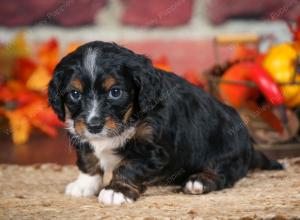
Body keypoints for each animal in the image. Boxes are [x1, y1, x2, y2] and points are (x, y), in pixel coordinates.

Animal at [48, 40, 282, 205]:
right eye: (75, 94)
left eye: (115, 92)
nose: (94, 126)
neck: (129, 118)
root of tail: (250, 148)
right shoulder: (79, 132)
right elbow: (88, 158)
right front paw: (84, 184)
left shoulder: (152, 149)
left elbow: (128, 166)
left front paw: (117, 190)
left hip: (227, 148)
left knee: (225, 172)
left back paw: (200, 180)